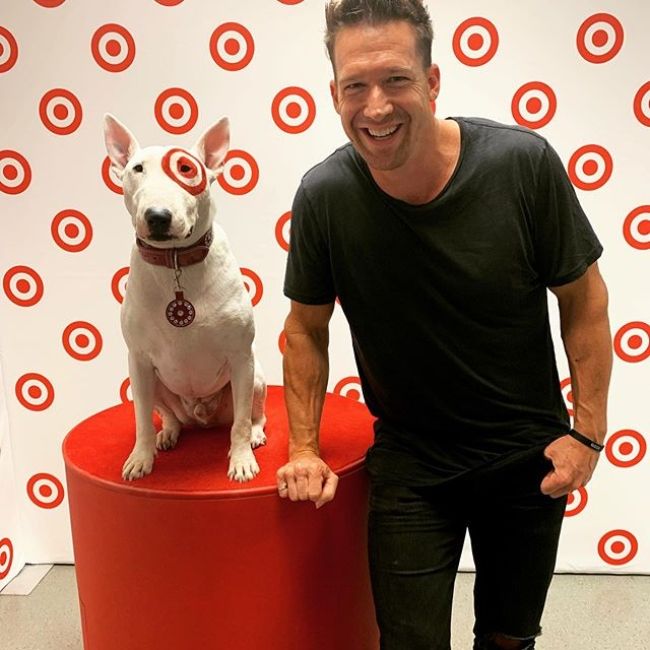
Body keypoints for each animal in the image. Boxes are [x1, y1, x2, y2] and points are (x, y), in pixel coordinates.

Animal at [104, 114, 266, 478]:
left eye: (186, 169)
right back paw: (167, 433)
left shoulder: (241, 357)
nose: (157, 216)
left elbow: (240, 423)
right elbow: (141, 420)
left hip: (255, 378)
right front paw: (141, 458)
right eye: (136, 169)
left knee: (251, 413)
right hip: (153, 385)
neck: (176, 261)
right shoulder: (138, 361)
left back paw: (256, 435)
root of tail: (202, 416)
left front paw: (241, 460)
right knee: (168, 415)